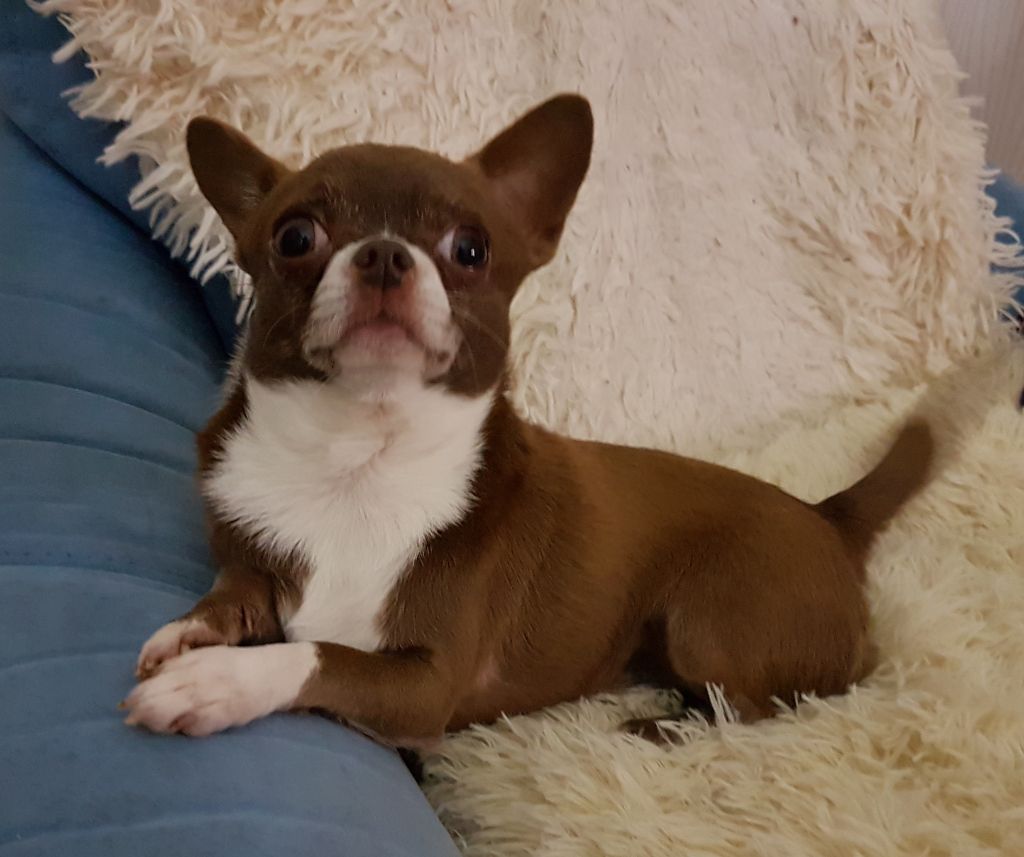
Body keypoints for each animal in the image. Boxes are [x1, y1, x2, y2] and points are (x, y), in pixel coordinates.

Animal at [122, 95, 933, 746]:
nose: (383, 254)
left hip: (712, 618)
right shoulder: (255, 559)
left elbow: (317, 653)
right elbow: (237, 591)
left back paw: (663, 728)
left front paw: (214, 683)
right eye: (295, 237)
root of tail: (828, 515)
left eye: (471, 248)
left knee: (759, 708)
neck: (360, 451)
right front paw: (191, 634)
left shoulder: (425, 686)